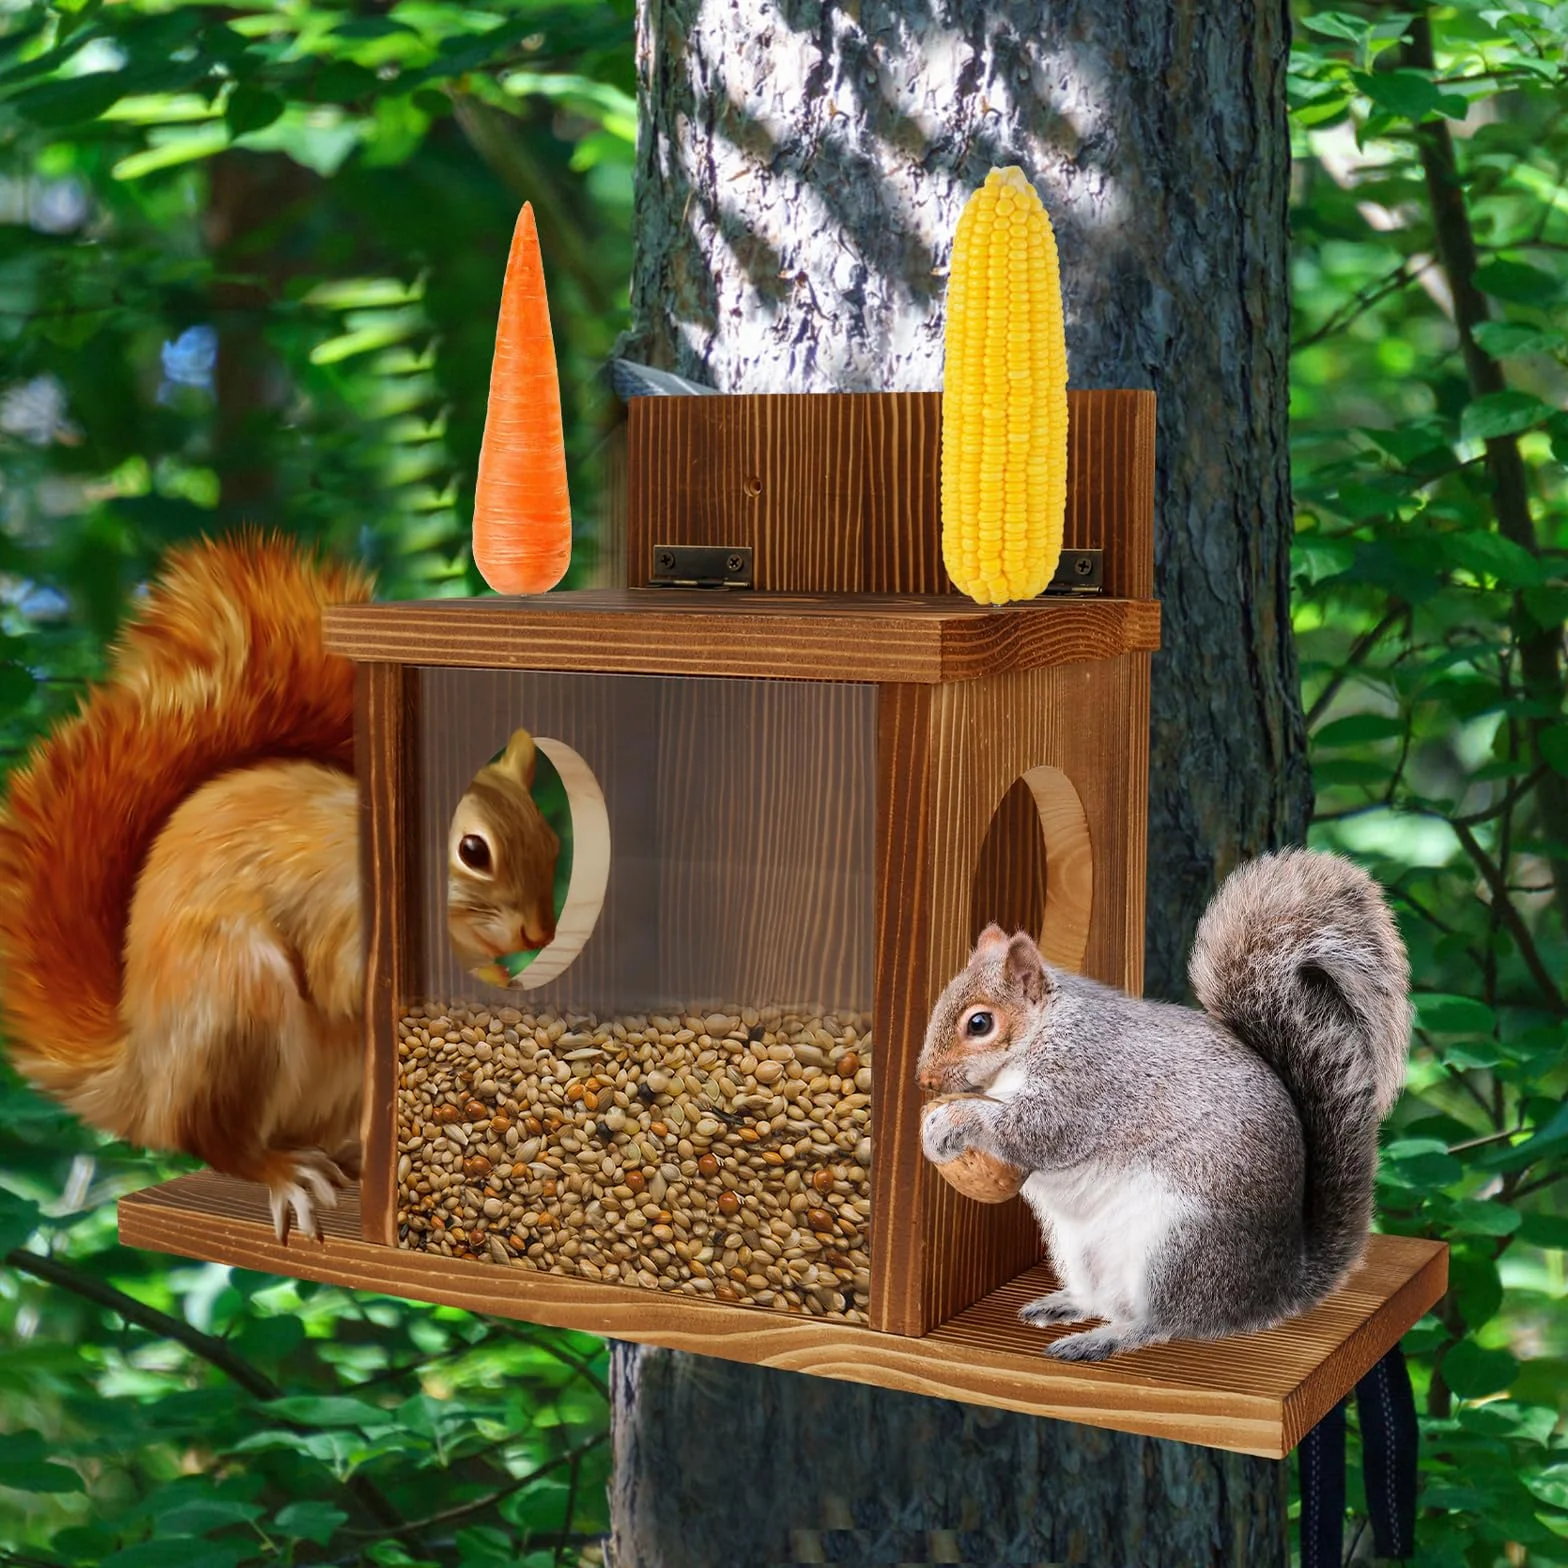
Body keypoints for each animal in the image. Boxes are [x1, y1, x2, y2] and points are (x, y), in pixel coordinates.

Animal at [0, 532, 560, 1245]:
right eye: (473, 851)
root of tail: (144, 1082)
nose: (540, 932)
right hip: (237, 1005)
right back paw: (284, 1172)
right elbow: (346, 982)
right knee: (218, 1140)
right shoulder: (338, 910)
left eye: (552, 841)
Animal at [918, 847, 1412, 1362]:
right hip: (1079, 1248)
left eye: (980, 1023)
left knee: (1168, 1321)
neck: (1040, 1033)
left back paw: (1106, 1337)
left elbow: (1038, 1129)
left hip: (1179, 1249)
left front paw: (953, 1120)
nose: (924, 1079)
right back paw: (1067, 1304)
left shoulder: (1085, 1079)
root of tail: (1274, 1287)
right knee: (1105, 1298)